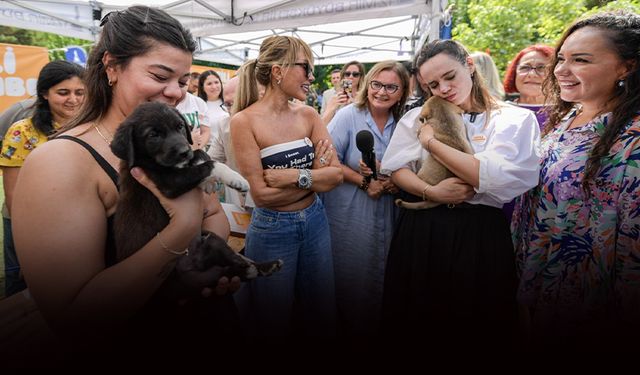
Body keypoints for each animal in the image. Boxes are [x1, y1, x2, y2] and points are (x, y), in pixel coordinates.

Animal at [111, 103, 282, 294]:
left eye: (180, 126)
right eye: (153, 135)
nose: (184, 152)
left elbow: (200, 152)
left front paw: (207, 180)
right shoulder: (169, 183)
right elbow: (212, 164)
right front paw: (236, 179)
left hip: (210, 240)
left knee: (232, 266)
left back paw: (264, 266)